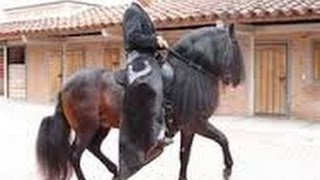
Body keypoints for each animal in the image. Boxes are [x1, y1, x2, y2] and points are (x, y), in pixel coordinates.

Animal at [35, 24, 245, 180]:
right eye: (235, 46)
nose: (237, 80)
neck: (191, 72)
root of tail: (66, 85)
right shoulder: (197, 123)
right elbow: (222, 138)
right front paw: (228, 169)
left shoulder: (189, 128)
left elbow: (185, 155)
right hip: (86, 127)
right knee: (75, 155)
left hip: (102, 125)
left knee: (94, 148)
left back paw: (115, 170)